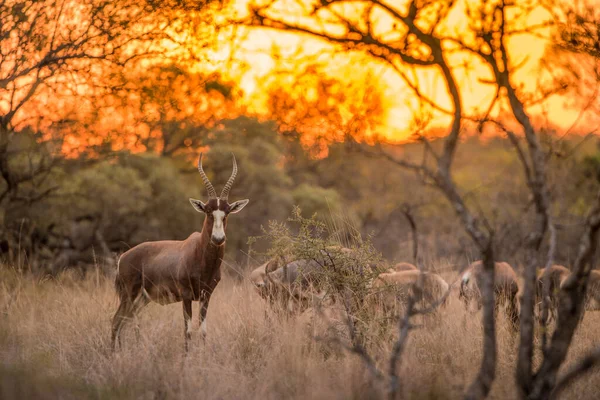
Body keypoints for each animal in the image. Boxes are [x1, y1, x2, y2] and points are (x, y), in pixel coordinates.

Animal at [112, 153, 248, 350]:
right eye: (208, 211)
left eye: (227, 212)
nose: (218, 239)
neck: (199, 253)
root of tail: (123, 257)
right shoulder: (186, 295)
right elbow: (188, 331)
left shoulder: (206, 296)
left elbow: (203, 331)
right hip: (128, 294)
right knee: (116, 322)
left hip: (141, 300)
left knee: (124, 323)